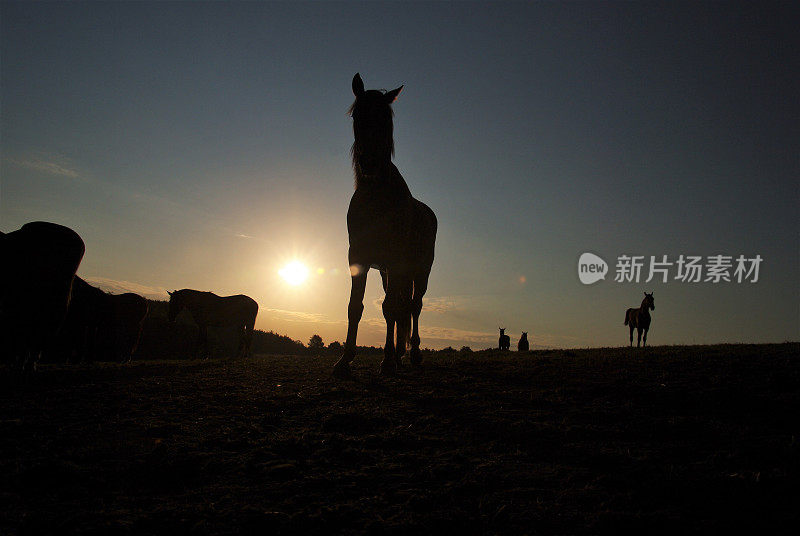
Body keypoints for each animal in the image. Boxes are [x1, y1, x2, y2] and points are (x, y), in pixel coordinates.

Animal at [334, 73, 440, 378]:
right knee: (397, 307)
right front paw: (345, 360)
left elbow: (393, 308)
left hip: (420, 270)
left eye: (386, 117)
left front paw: (388, 361)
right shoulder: (359, 258)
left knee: (413, 306)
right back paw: (397, 354)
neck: (376, 196)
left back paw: (411, 354)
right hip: (387, 273)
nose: (368, 161)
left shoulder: (396, 261)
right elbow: (356, 307)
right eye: (357, 114)